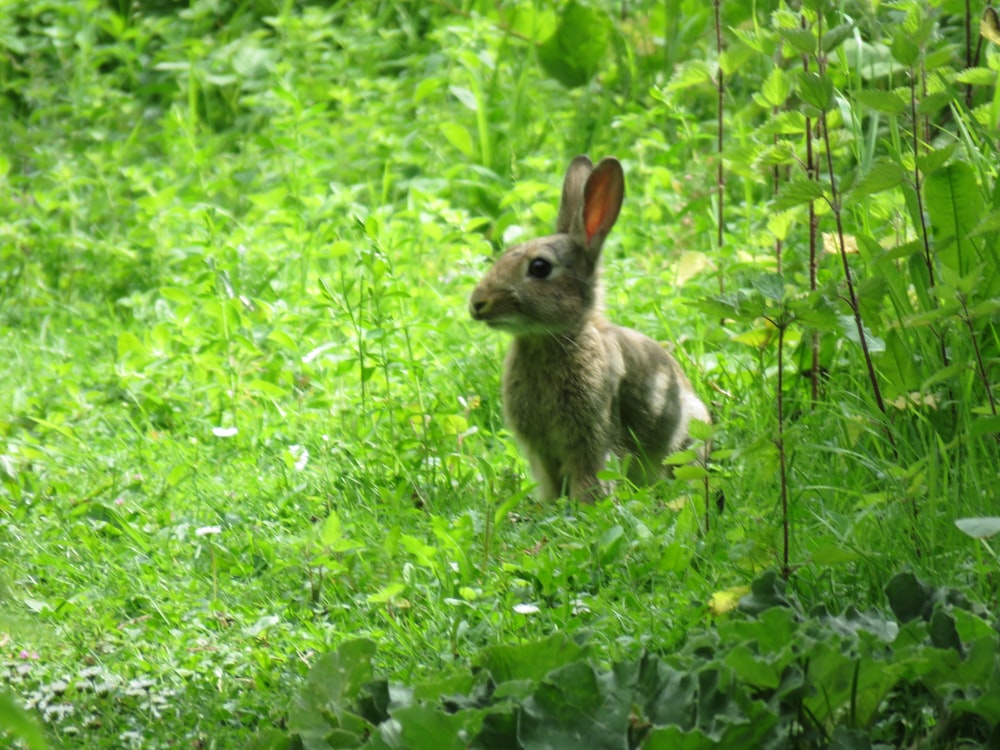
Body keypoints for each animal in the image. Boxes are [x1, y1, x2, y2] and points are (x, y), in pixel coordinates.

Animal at [470, 155, 712, 502]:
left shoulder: (591, 437)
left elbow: (590, 478)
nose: (478, 303)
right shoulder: (542, 451)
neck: (554, 338)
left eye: (539, 267)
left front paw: (586, 507)